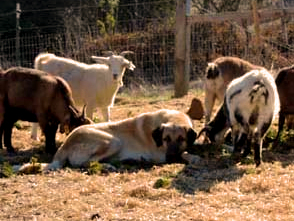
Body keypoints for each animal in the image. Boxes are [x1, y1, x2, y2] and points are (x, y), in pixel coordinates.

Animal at [17, 109, 199, 172]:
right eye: (165, 139)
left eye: (181, 138)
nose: (171, 157)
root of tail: (64, 146)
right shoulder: (160, 155)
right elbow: (184, 154)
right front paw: (191, 157)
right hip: (113, 141)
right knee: (83, 163)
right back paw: (107, 166)